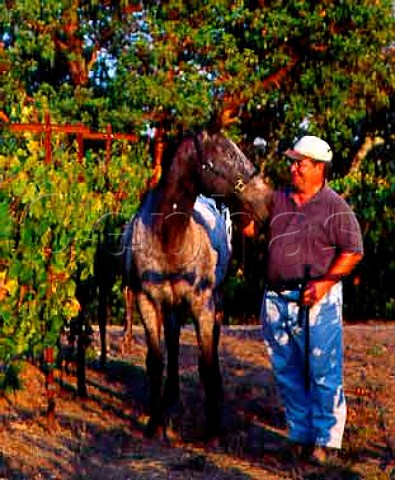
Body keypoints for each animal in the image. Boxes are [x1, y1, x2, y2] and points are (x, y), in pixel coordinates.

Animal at [120, 129, 274, 440]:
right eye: (227, 156)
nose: (268, 201)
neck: (169, 237)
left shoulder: (202, 304)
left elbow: (206, 362)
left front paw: (214, 428)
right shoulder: (147, 301)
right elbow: (156, 360)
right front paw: (155, 423)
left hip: (216, 299)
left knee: (213, 341)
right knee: (174, 338)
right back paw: (170, 395)